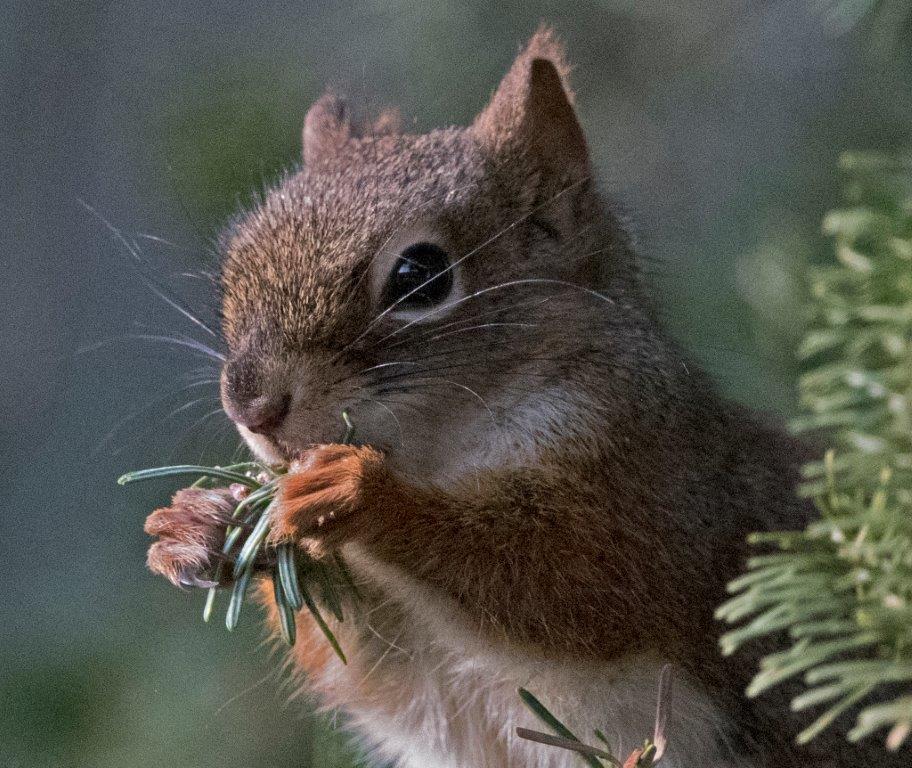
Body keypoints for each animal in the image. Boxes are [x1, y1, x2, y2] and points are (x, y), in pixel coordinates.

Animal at [142, 27, 904, 768]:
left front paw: (361, 493)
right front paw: (198, 523)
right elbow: (364, 670)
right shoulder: (421, 678)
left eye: (421, 276)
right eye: (236, 261)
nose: (252, 406)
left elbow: (566, 579)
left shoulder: (650, 486)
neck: (441, 447)